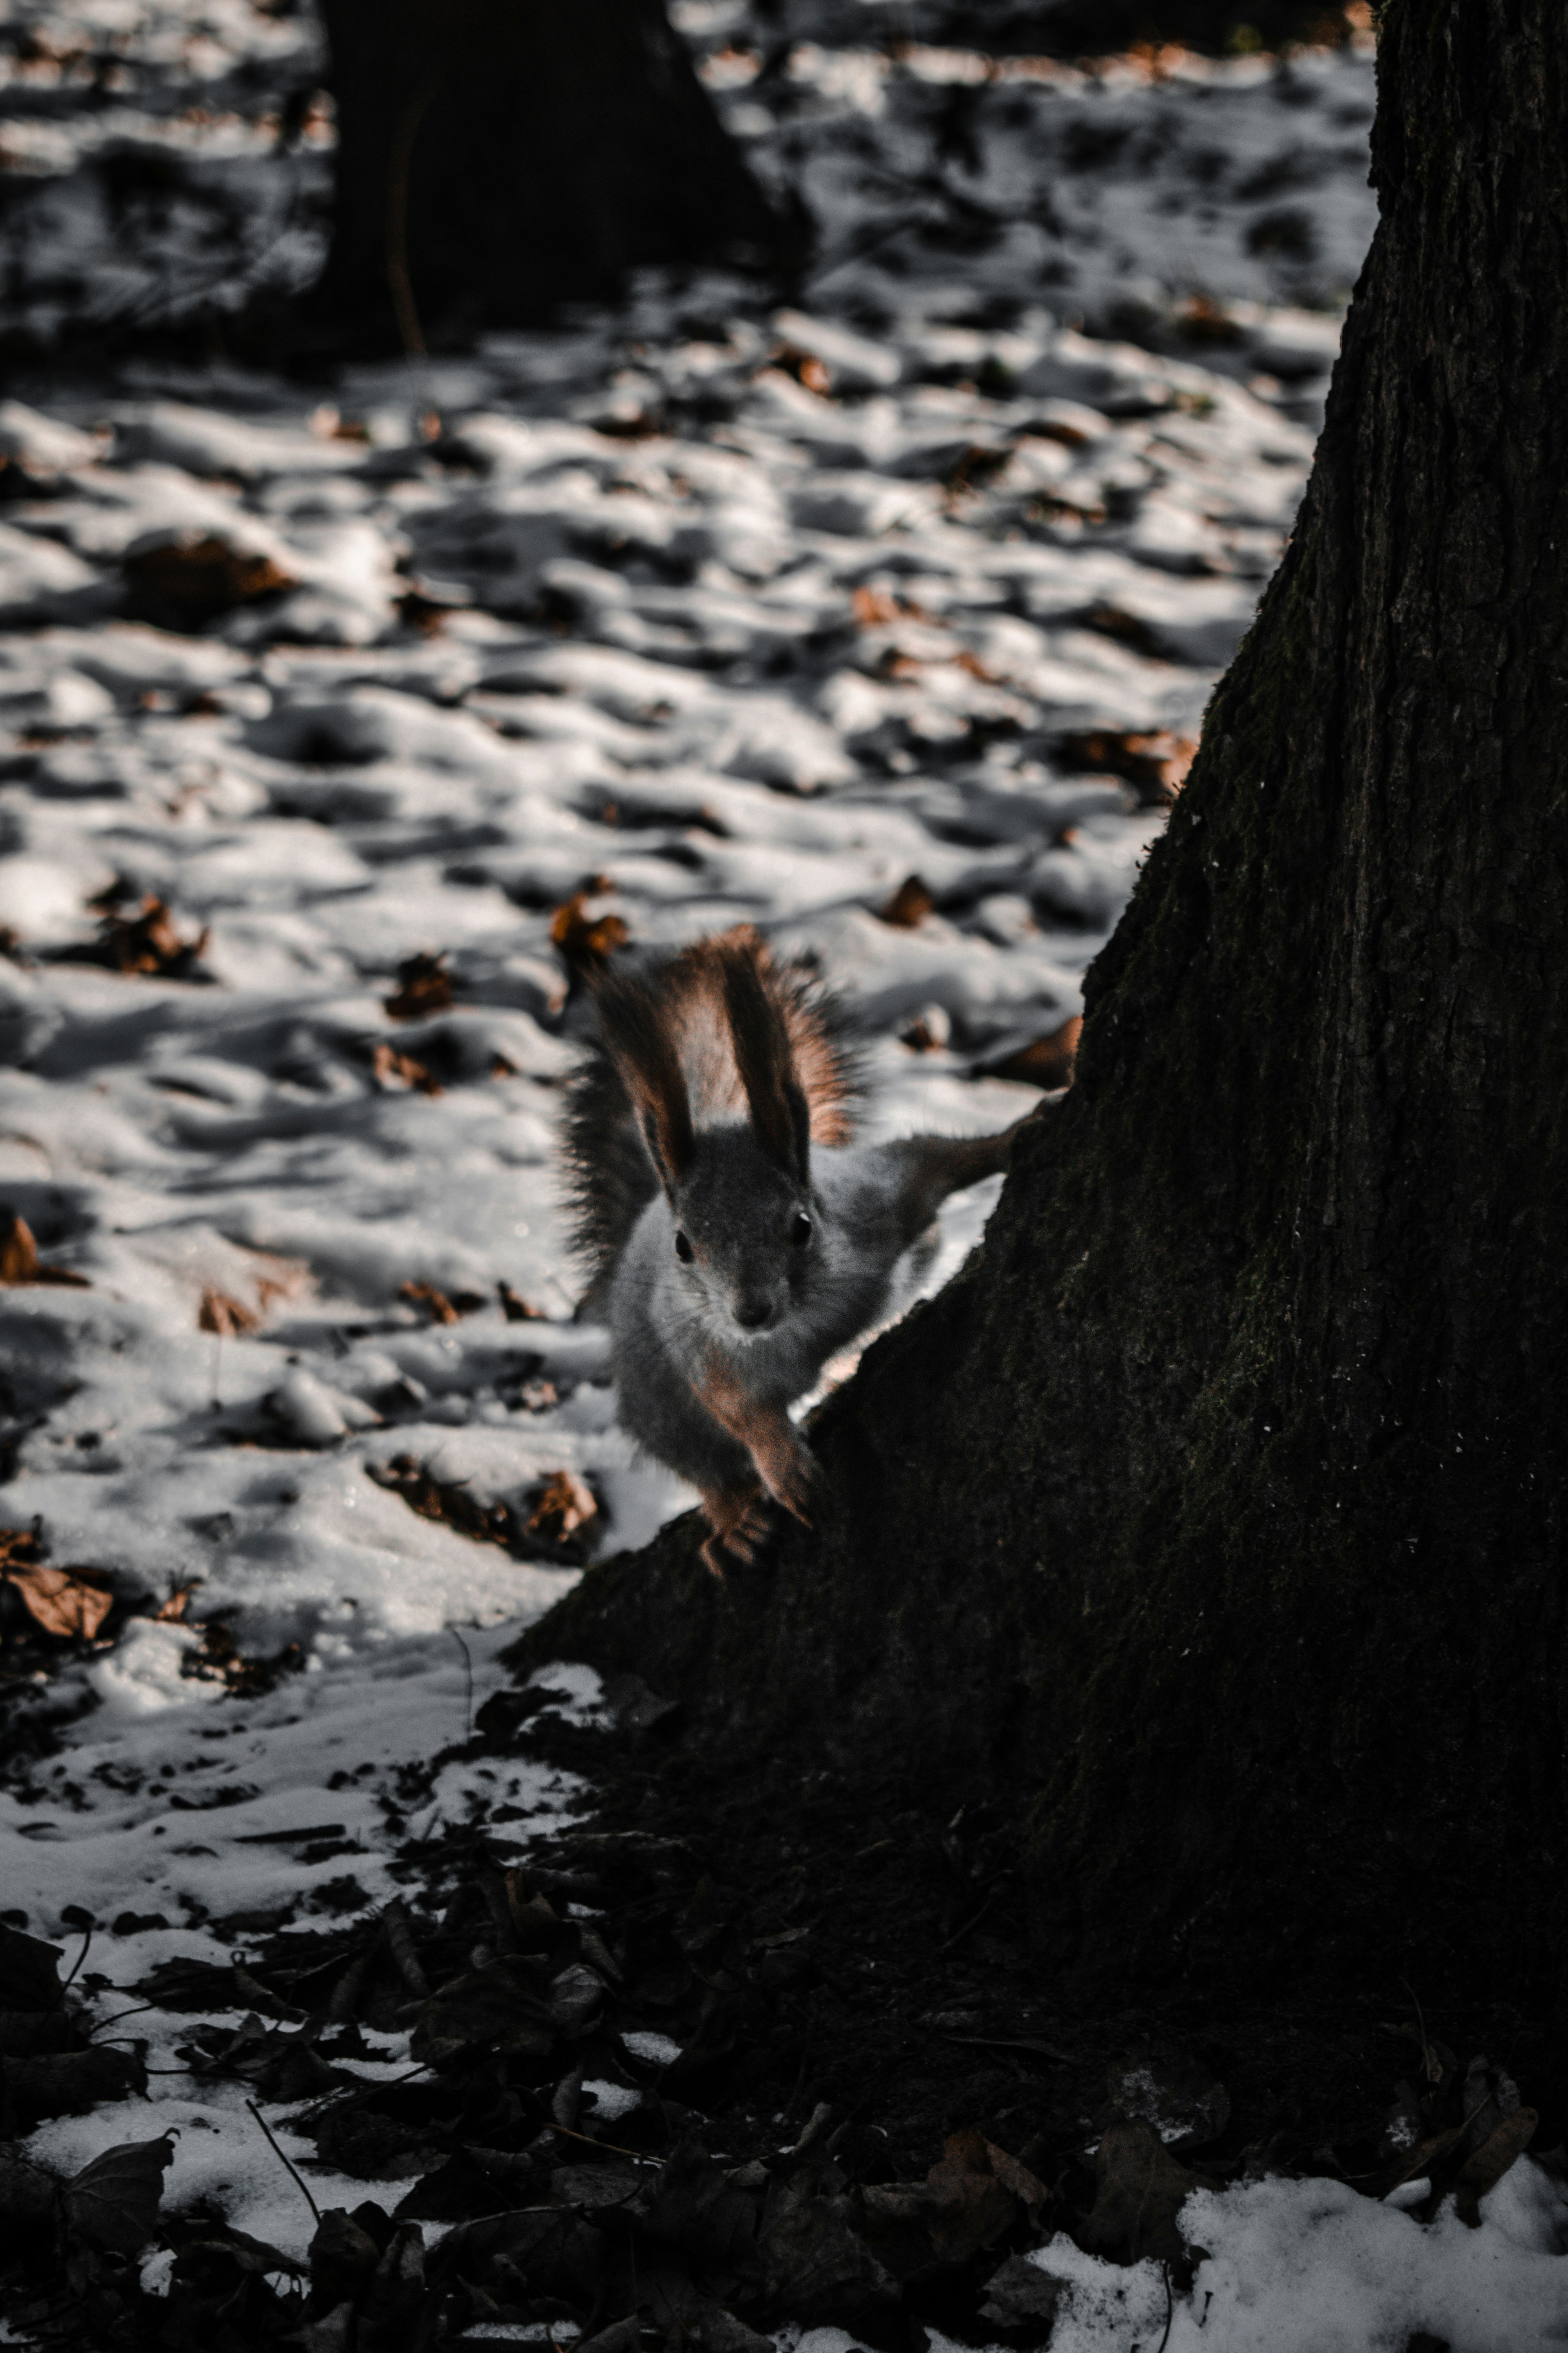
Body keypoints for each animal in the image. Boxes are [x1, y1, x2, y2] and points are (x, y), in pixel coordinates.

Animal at [560, 925, 1031, 1574]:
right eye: (683, 1246)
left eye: (801, 1225)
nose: (750, 1312)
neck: (804, 1322)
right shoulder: (707, 1347)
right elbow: (740, 1409)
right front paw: (784, 1467)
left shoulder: (876, 1201)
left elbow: (938, 1159)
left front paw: (1016, 1133)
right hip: (655, 1403)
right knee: (702, 1465)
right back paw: (734, 1522)